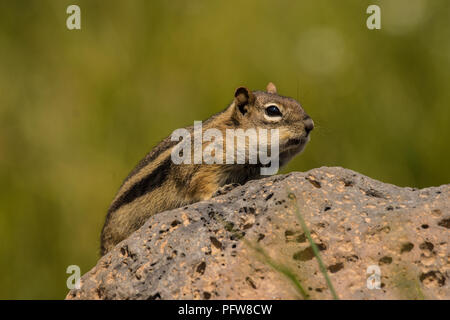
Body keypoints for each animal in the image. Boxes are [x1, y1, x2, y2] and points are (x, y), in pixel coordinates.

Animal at [100, 82, 314, 255]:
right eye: (273, 111)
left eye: (297, 103)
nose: (310, 125)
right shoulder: (203, 166)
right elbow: (200, 186)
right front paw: (221, 190)